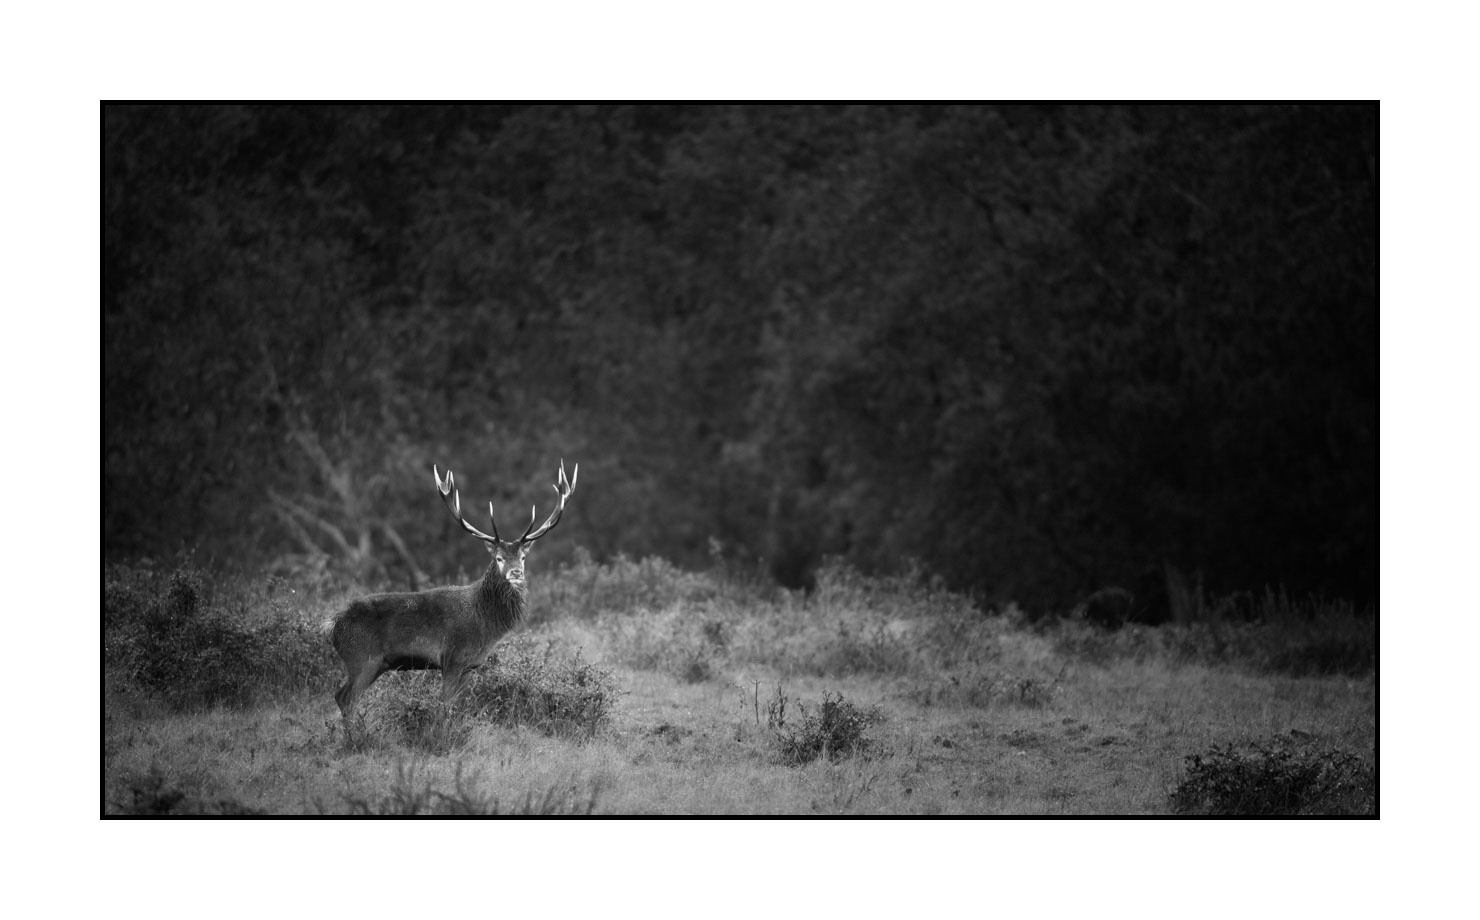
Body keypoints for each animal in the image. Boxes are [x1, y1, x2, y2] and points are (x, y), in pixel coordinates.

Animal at [329, 459, 577, 719]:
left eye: (523, 557)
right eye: (498, 558)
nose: (516, 573)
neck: (485, 623)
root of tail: (332, 625)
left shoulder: (470, 665)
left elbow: (460, 707)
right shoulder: (452, 657)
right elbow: (445, 705)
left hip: (376, 663)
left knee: (340, 695)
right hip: (362, 658)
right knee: (346, 699)